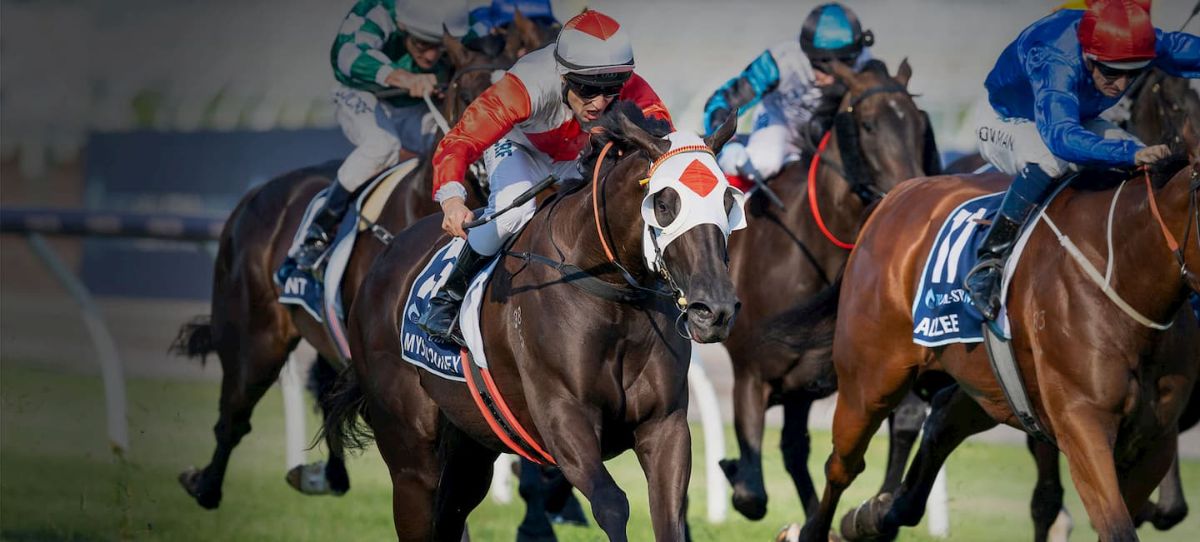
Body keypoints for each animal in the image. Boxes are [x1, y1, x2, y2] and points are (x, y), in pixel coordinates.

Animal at [169, 25, 541, 509]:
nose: (496, 168)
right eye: (468, 96)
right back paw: (207, 484)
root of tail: (255, 196)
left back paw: (321, 475)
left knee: (324, 394)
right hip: (255, 335)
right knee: (235, 414)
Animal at [322, 102, 744, 541]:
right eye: (664, 203)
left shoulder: (665, 424)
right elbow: (612, 503)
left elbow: (668, 514)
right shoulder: (563, 415)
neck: (611, 293)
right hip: (410, 456)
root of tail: (379, 267)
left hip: (470, 448)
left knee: (452, 510)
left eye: (728, 202)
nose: (714, 309)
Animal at [715, 58, 941, 520]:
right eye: (868, 125)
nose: (915, 195)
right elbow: (752, 495)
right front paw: (732, 468)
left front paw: (881, 506)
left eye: (918, 123)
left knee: (793, 448)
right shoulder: (750, 376)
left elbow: (907, 419)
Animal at [787, 145, 1200, 542]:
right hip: (870, 380)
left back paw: (876, 514)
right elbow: (1116, 527)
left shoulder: (1155, 440)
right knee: (842, 464)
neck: (1123, 274)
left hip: (994, 389)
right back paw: (819, 528)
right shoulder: (1082, 422)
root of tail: (894, 196)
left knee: (942, 420)